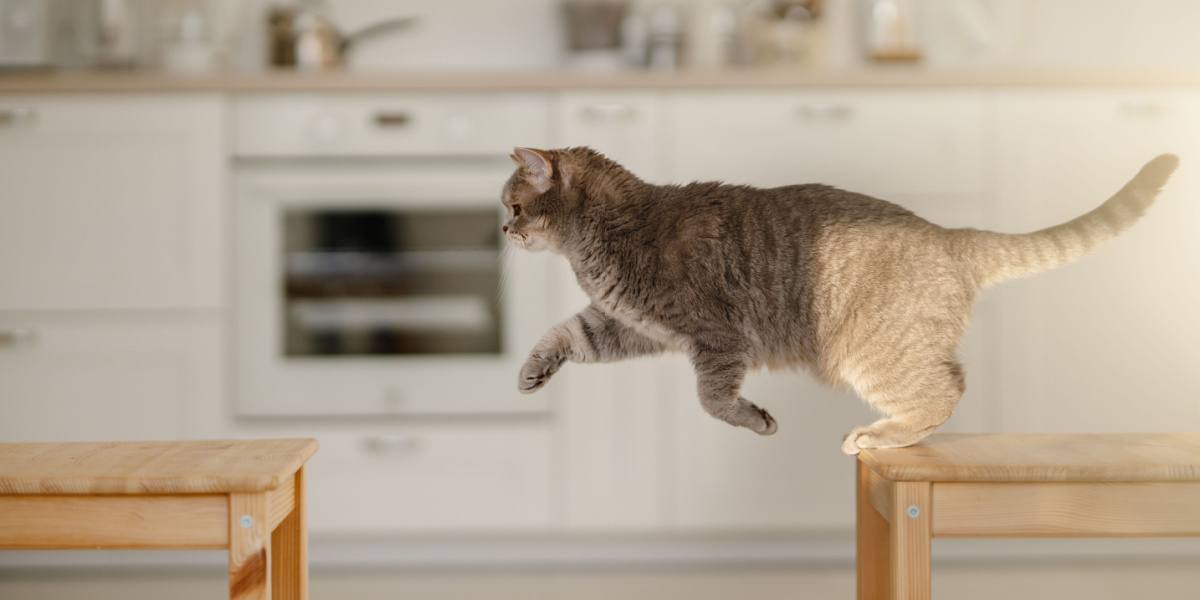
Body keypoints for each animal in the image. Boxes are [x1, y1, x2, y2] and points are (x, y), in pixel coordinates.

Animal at [499, 146, 1180, 453]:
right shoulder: (627, 325)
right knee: (953, 381)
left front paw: (756, 419)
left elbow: (712, 400)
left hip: (870, 355)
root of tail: (950, 233)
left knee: (944, 391)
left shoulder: (715, 339)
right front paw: (532, 370)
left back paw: (879, 438)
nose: (502, 228)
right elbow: (565, 335)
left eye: (513, 204)